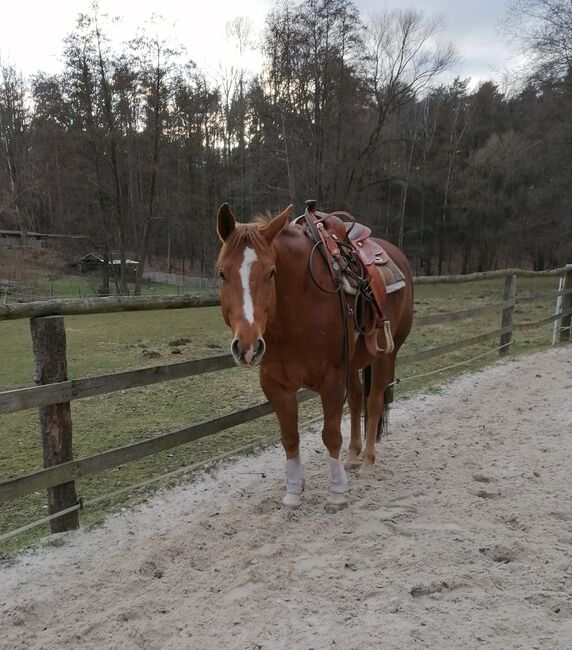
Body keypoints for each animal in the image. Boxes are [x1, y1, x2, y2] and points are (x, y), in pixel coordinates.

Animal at [214, 202, 412, 506]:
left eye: (271, 272)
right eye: (222, 273)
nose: (247, 346)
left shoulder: (331, 378)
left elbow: (330, 434)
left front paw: (337, 492)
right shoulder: (274, 384)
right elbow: (289, 437)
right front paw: (294, 491)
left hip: (386, 355)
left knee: (375, 401)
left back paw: (367, 460)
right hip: (354, 361)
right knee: (357, 400)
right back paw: (352, 456)